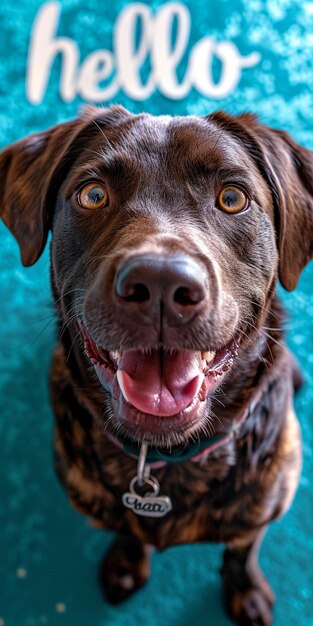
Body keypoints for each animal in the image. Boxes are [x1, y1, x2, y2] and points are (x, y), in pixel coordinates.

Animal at [1, 105, 310, 620]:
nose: (161, 283)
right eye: (93, 194)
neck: (164, 458)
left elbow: (242, 549)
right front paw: (126, 563)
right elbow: (127, 529)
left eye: (232, 198)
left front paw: (244, 591)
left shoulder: (264, 503)